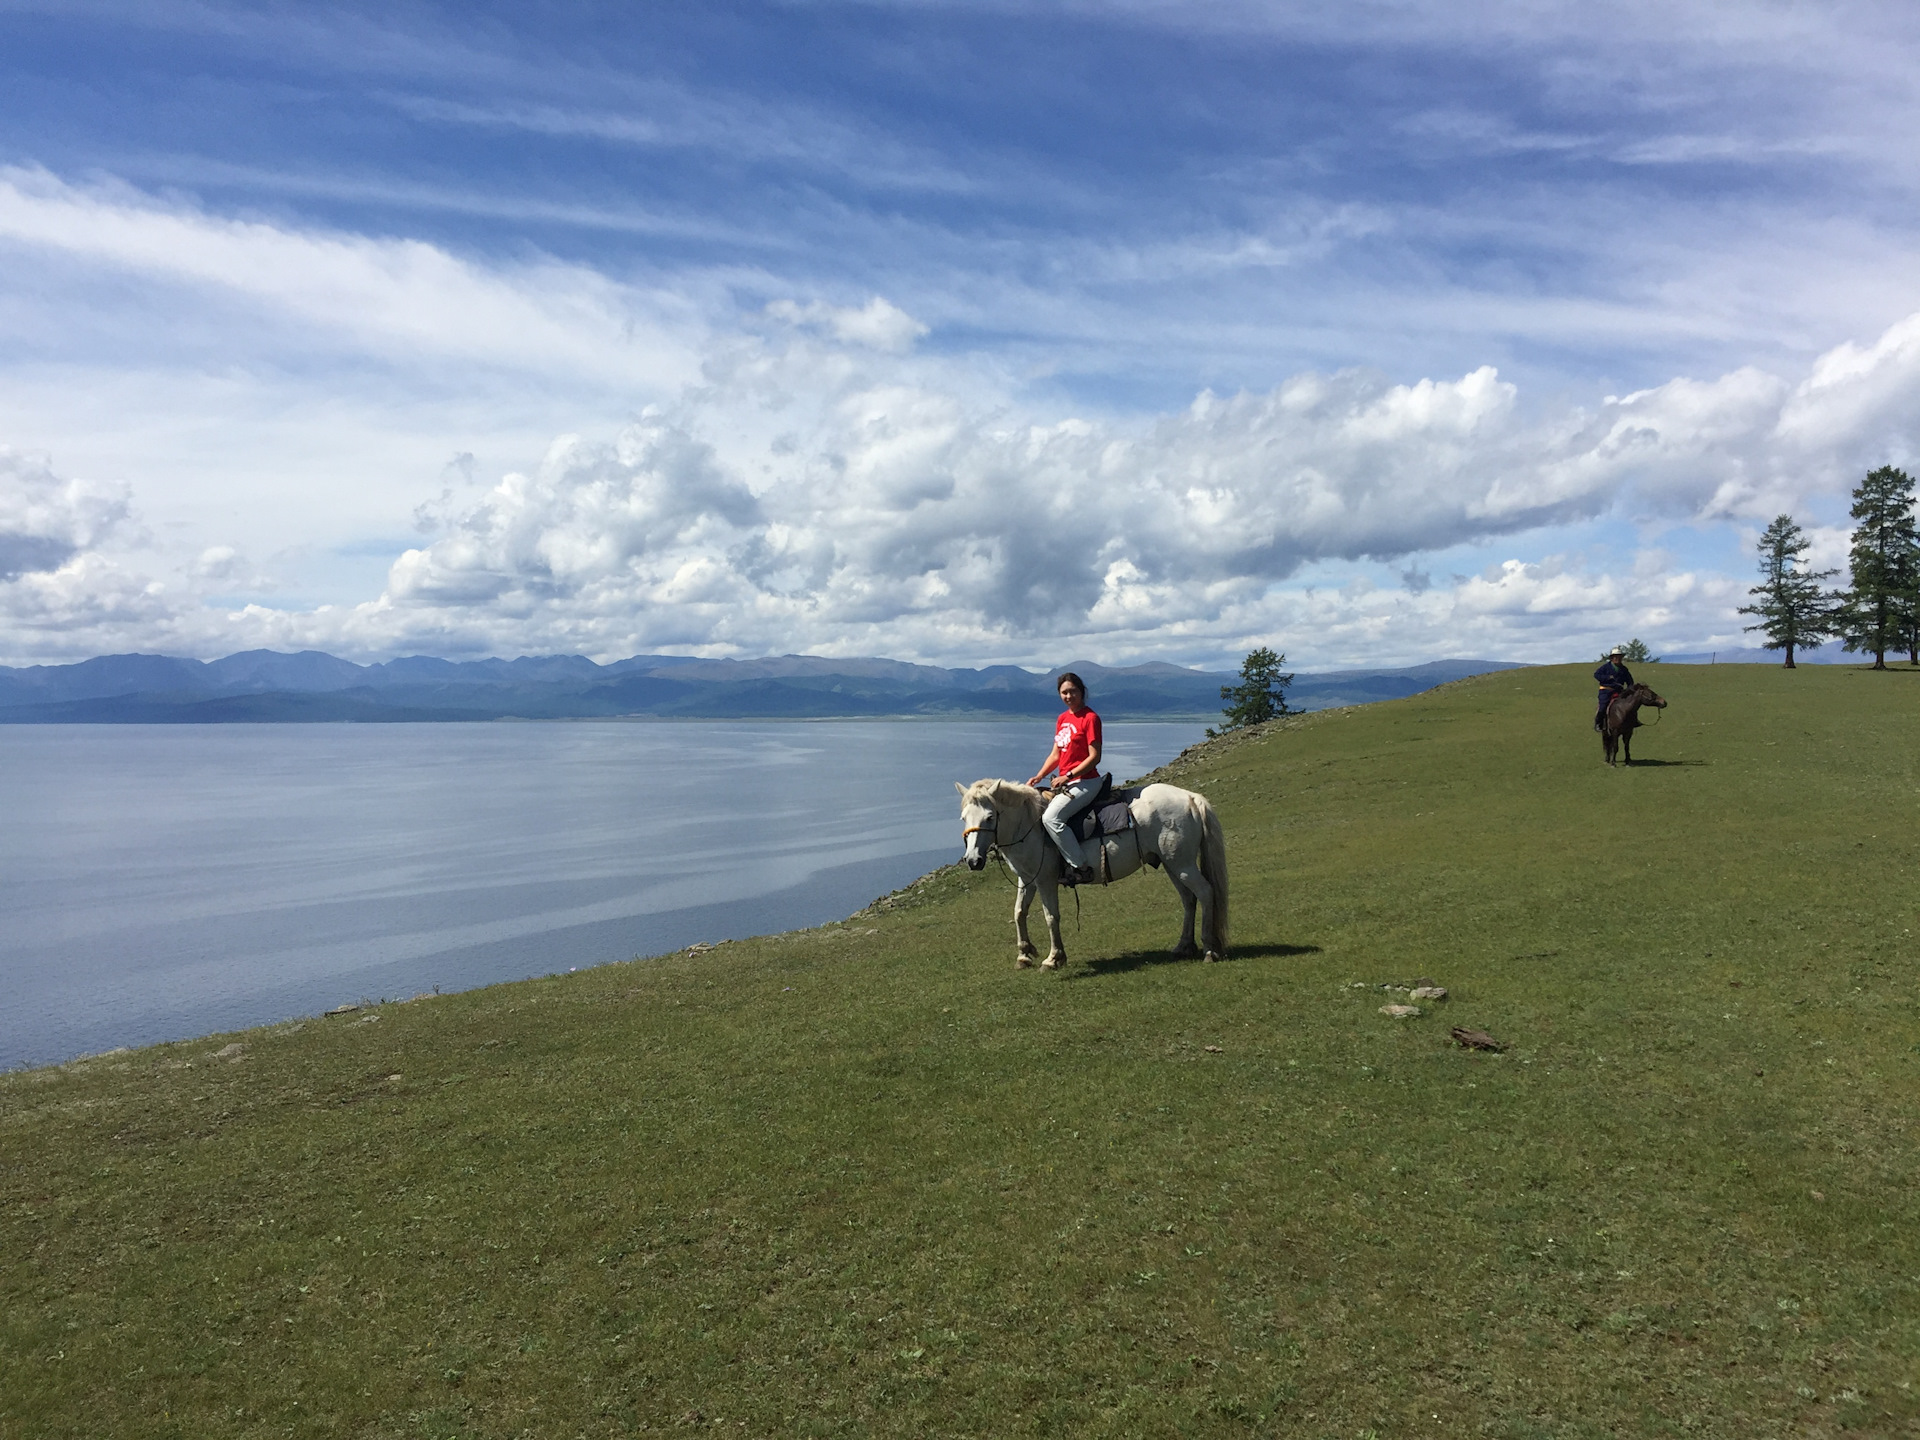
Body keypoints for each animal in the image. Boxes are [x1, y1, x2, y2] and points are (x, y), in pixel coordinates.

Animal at [956, 783, 1228, 975]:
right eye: (964, 818)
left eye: (990, 817)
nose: (973, 860)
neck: (1029, 826)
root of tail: (1190, 797)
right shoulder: (1028, 879)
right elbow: (1019, 913)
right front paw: (1024, 955)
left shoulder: (1045, 880)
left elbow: (1050, 917)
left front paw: (1053, 959)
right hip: (1173, 865)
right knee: (1188, 899)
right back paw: (1184, 946)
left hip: (1182, 865)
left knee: (1205, 893)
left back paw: (1209, 950)